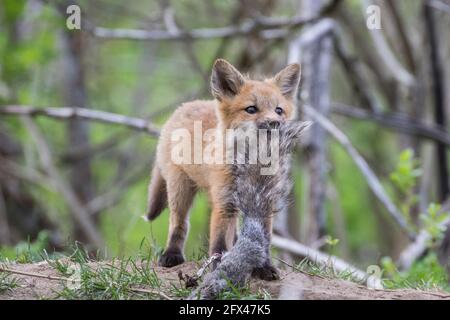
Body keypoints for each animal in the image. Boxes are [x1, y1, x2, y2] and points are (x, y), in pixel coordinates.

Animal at [146, 58, 300, 278]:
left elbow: (264, 240)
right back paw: (172, 255)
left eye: (279, 110)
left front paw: (264, 268)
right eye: (251, 109)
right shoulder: (224, 202)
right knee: (178, 224)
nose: (275, 123)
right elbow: (218, 242)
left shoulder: (264, 202)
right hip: (180, 189)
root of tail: (183, 107)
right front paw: (218, 267)